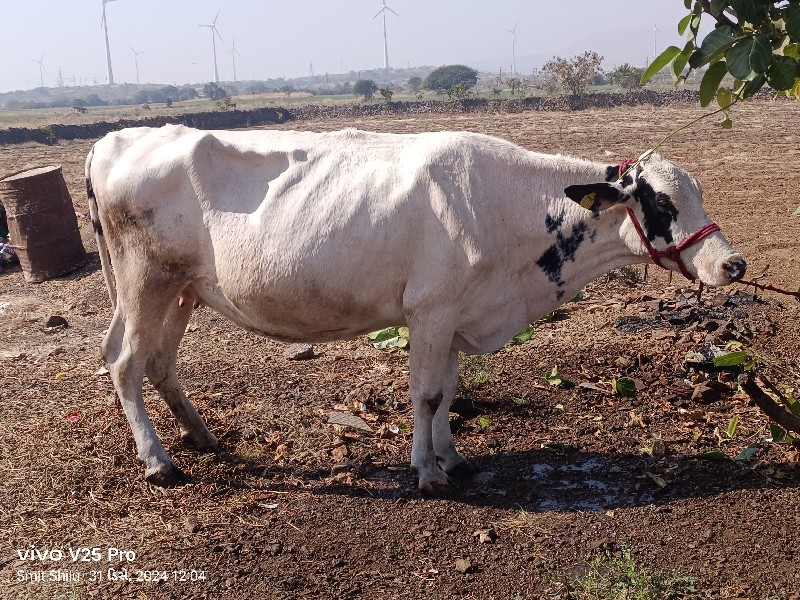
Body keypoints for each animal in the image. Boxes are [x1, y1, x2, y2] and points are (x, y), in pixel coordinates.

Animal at [86, 124, 744, 494]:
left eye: (698, 193)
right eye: (663, 202)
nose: (732, 264)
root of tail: (117, 139)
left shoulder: (455, 316)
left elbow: (449, 391)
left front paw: (452, 458)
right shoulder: (430, 310)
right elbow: (426, 395)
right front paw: (426, 473)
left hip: (183, 288)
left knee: (158, 362)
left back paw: (199, 437)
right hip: (144, 279)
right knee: (124, 363)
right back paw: (158, 462)